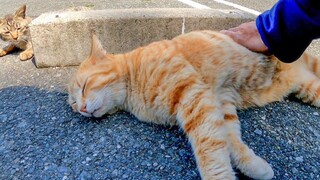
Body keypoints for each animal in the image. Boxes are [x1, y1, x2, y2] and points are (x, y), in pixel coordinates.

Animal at [67, 30, 320, 179]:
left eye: (84, 86)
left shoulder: (193, 96)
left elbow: (211, 152)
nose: (82, 109)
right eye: (74, 104)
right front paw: (255, 166)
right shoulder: (219, 102)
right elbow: (230, 141)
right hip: (307, 88)